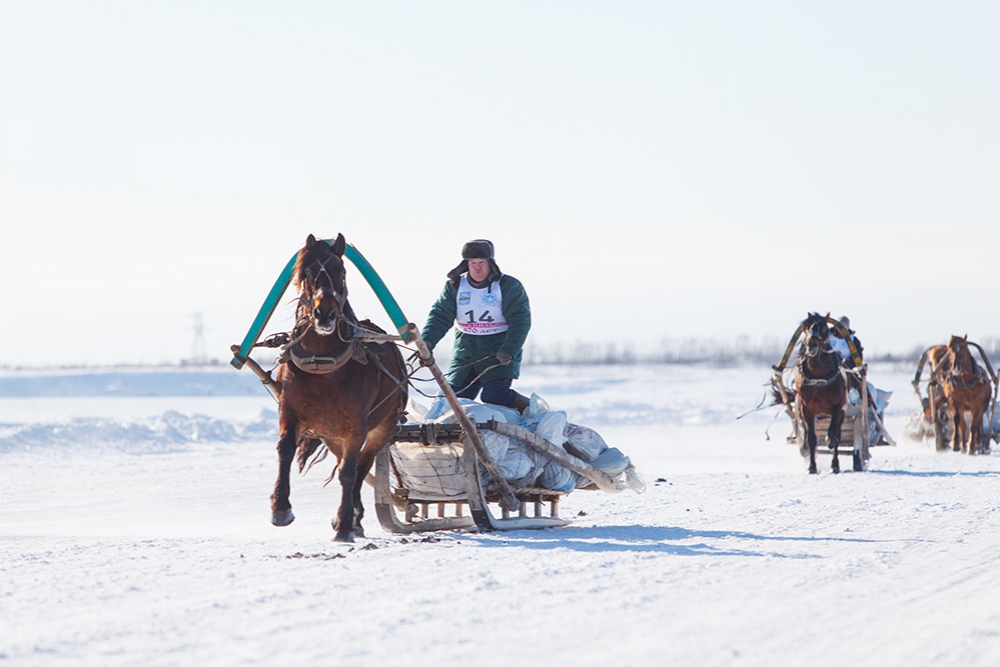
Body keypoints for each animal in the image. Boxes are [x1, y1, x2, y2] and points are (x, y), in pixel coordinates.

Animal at [272, 235, 408, 544]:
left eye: (342, 272)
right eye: (308, 273)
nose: (324, 314)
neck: (322, 363)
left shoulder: (357, 424)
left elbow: (349, 472)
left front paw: (345, 524)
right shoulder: (290, 411)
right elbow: (285, 449)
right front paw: (280, 508)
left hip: (381, 426)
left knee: (359, 467)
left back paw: (353, 518)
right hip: (330, 434)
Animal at [772, 314, 844, 474]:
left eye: (823, 327)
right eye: (807, 328)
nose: (812, 344)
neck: (819, 377)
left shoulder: (838, 407)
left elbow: (833, 433)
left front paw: (830, 443)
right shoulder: (807, 409)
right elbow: (811, 438)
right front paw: (812, 466)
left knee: (838, 434)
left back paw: (835, 463)